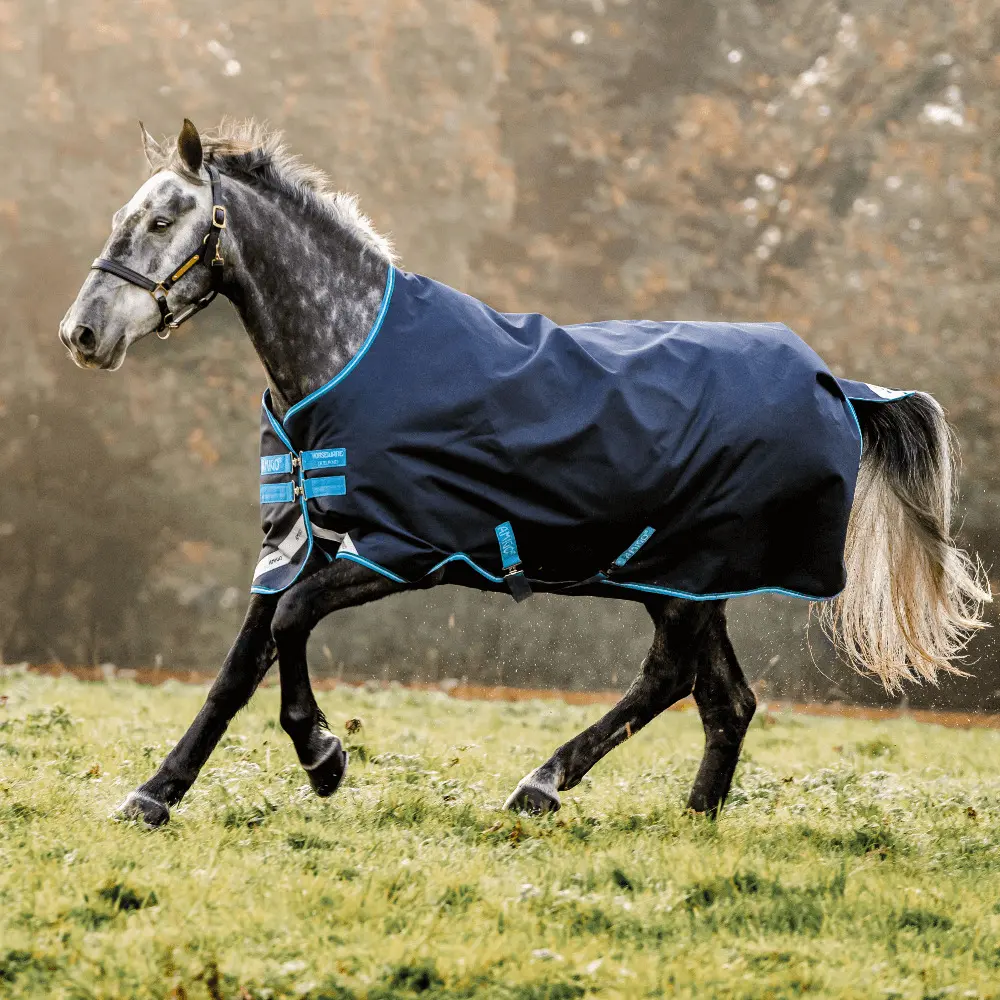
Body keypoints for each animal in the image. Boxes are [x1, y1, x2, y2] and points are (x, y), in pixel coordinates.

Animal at [59, 120, 990, 828]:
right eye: (124, 215)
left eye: (164, 221)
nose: (83, 333)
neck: (350, 354)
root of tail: (838, 383)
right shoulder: (299, 543)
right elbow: (237, 669)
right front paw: (153, 795)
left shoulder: (400, 552)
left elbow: (289, 627)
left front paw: (325, 757)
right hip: (688, 581)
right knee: (725, 699)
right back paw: (691, 817)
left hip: (685, 576)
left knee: (671, 681)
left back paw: (541, 785)